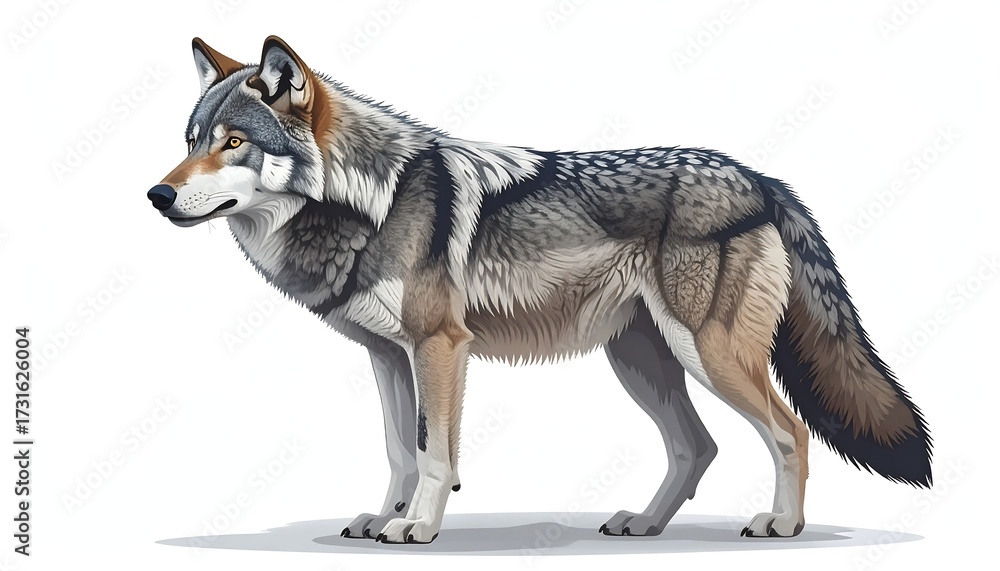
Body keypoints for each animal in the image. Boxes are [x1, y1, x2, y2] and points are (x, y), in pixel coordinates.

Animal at [146, 36, 932, 543]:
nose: (157, 195)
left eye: (234, 142)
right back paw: (644, 524)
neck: (368, 200)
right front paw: (384, 516)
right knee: (696, 448)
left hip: (707, 354)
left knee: (789, 430)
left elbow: (435, 452)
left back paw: (782, 524)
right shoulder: (387, 354)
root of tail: (762, 178)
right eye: (190, 140)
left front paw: (418, 525)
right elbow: (400, 448)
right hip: (641, 362)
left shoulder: (441, 346)